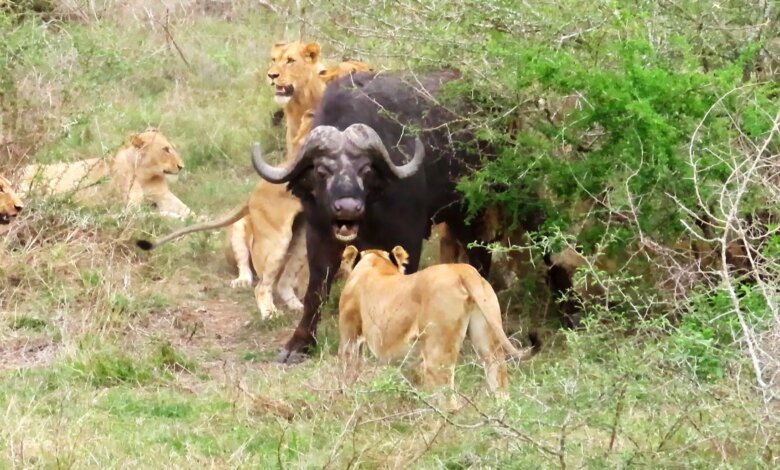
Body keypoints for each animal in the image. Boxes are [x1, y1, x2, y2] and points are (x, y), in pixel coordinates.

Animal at [17, 128, 192, 219]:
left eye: (173, 147)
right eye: (166, 149)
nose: (182, 166)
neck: (145, 176)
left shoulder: (163, 196)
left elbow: (189, 211)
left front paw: (195, 220)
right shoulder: (130, 209)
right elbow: (156, 215)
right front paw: (176, 218)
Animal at [338, 245, 541, 407]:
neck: (376, 262)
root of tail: (462, 270)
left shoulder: (350, 334)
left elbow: (348, 371)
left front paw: (345, 401)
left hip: (437, 351)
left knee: (449, 402)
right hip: (488, 339)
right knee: (499, 381)